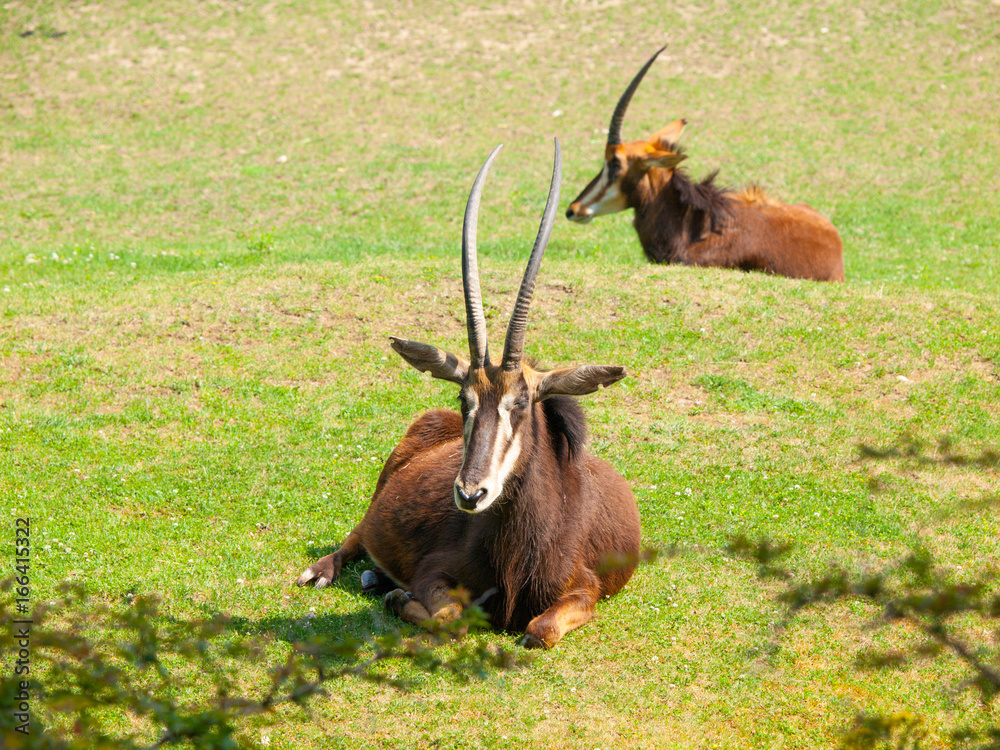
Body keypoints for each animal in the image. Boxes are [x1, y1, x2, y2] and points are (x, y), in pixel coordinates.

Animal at [297, 139, 641, 649]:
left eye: (521, 404)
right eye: (465, 401)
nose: (470, 494)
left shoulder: (585, 590)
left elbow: (539, 630)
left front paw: (394, 595)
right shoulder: (434, 573)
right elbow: (450, 618)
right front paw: (398, 598)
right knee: (357, 535)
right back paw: (330, 572)